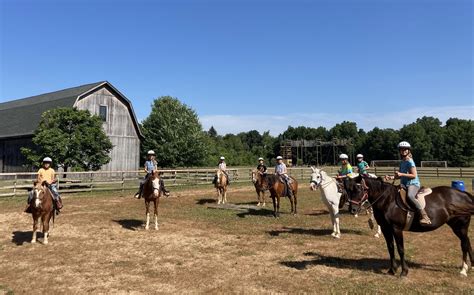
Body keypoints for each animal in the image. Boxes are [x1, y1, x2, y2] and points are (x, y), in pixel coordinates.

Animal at [344, 177, 474, 278]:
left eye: (359, 189)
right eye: (349, 190)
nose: (353, 210)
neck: (388, 200)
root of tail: (463, 194)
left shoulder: (396, 229)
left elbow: (400, 249)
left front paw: (404, 272)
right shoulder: (386, 229)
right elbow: (390, 248)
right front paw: (392, 270)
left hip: (460, 226)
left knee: (464, 244)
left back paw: (463, 269)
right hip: (458, 227)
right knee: (467, 242)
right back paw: (471, 266)